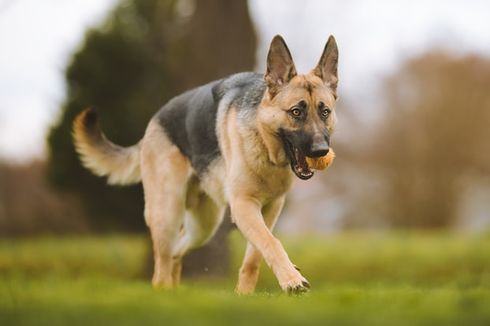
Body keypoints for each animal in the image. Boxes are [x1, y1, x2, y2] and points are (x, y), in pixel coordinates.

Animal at [72, 34, 338, 294]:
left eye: (324, 112)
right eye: (296, 112)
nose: (321, 151)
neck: (264, 144)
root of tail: (154, 121)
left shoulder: (270, 209)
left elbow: (254, 256)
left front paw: (245, 294)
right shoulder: (243, 205)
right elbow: (270, 242)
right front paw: (292, 280)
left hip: (204, 226)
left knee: (176, 252)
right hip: (167, 214)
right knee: (162, 265)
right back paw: (162, 293)